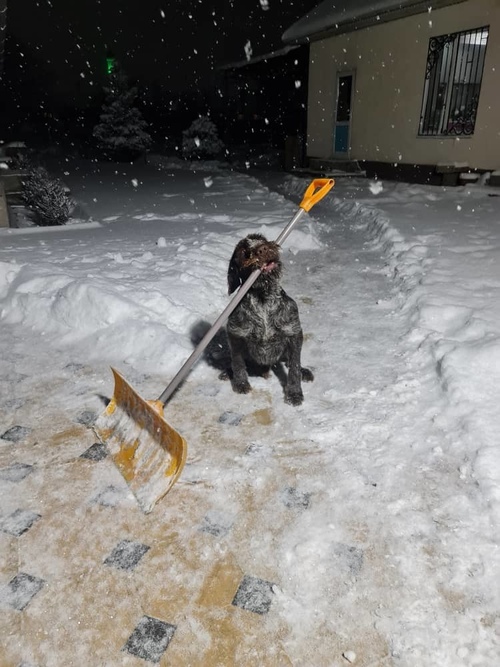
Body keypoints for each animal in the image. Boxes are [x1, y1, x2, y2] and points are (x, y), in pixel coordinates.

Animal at [223, 232, 312, 404]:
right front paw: (241, 383)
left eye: (262, 239)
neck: (263, 299)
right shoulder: (234, 333)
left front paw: (294, 393)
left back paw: (305, 372)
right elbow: (237, 362)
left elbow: (295, 367)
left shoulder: (294, 332)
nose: (263, 248)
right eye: (243, 252)